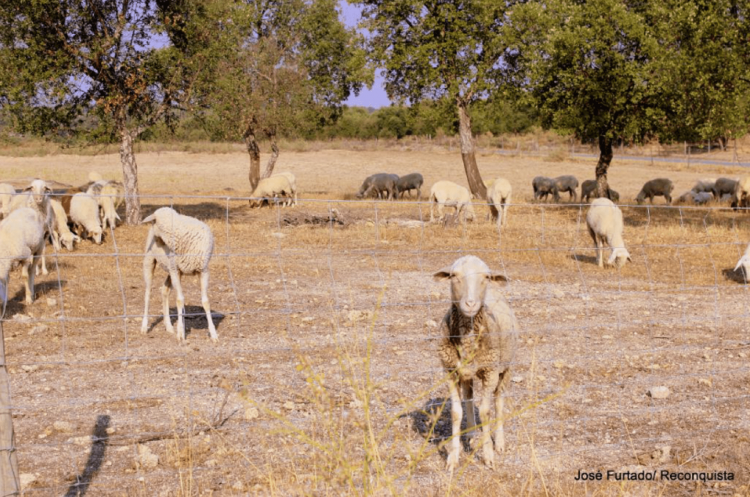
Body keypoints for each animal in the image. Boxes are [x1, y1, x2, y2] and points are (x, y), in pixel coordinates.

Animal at [140, 206, 217, 340]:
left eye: (153, 223)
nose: (156, 242)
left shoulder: (203, 271)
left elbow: (206, 302)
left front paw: (213, 333)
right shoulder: (175, 271)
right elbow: (180, 300)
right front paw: (181, 332)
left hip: (172, 270)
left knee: (164, 290)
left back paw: (169, 326)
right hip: (150, 261)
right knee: (147, 294)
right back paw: (144, 326)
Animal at [432, 256, 520, 472]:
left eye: (486, 277)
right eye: (453, 276)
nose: (470, 303)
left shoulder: (490, 371)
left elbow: (486, 411)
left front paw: (488, 456)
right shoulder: (450, 371)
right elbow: (457, 412)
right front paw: (453, 457)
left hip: (505, 369)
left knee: (498, 401)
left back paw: (499, 442)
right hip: (468, 373)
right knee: (469, 399)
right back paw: (471, 437)